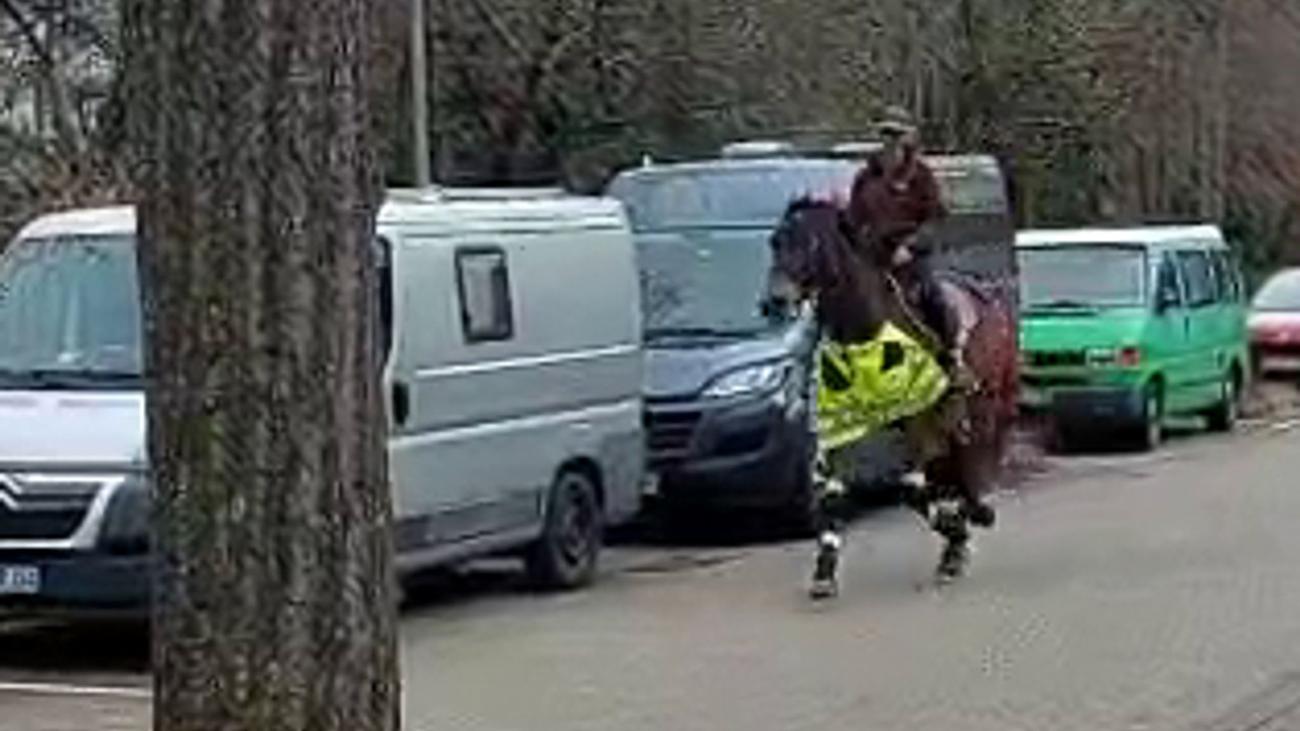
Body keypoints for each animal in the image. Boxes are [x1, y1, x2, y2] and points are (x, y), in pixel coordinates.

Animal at [763, 197, 1019, 597]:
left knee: (972, 461)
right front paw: (824, 573)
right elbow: (834, 492)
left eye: (811, 244)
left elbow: (909, 489)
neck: (864, 329)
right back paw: (958, 541)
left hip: (980, 404)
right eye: (774, 242)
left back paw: (975, 516)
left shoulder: (918, 420)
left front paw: (956, 529)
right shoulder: (839, 426)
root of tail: (988, 295)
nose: (774, 301)